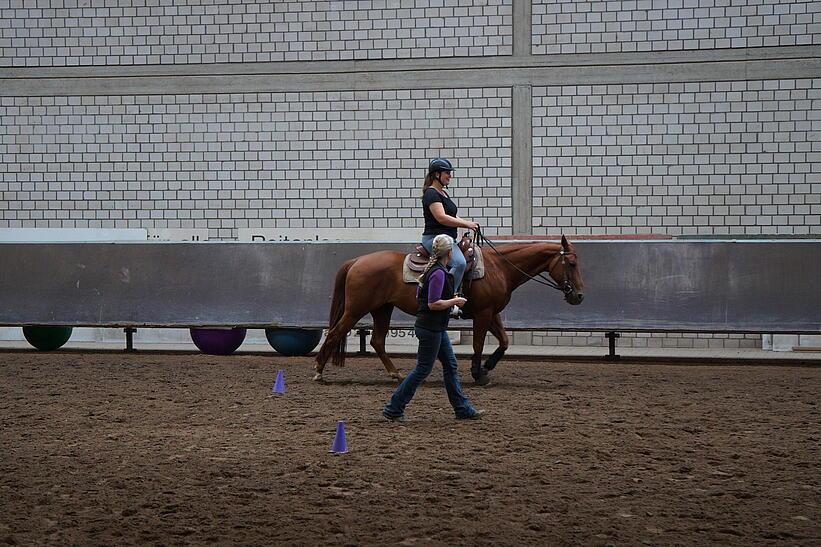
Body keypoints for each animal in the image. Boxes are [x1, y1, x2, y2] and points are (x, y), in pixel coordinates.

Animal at [314, 235, 584, 386]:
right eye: (571, 263)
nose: (579, 296)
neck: (498, 267)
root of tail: (356, 261)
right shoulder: (483, 314)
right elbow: (478, 344)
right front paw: (478, 374)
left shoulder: (492, 313)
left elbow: (505, 342)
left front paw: (487, 367)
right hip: (356, 309)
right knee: (335, 334)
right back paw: (318, 372)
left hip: (382, 309)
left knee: (378, 341)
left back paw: (395, 374)